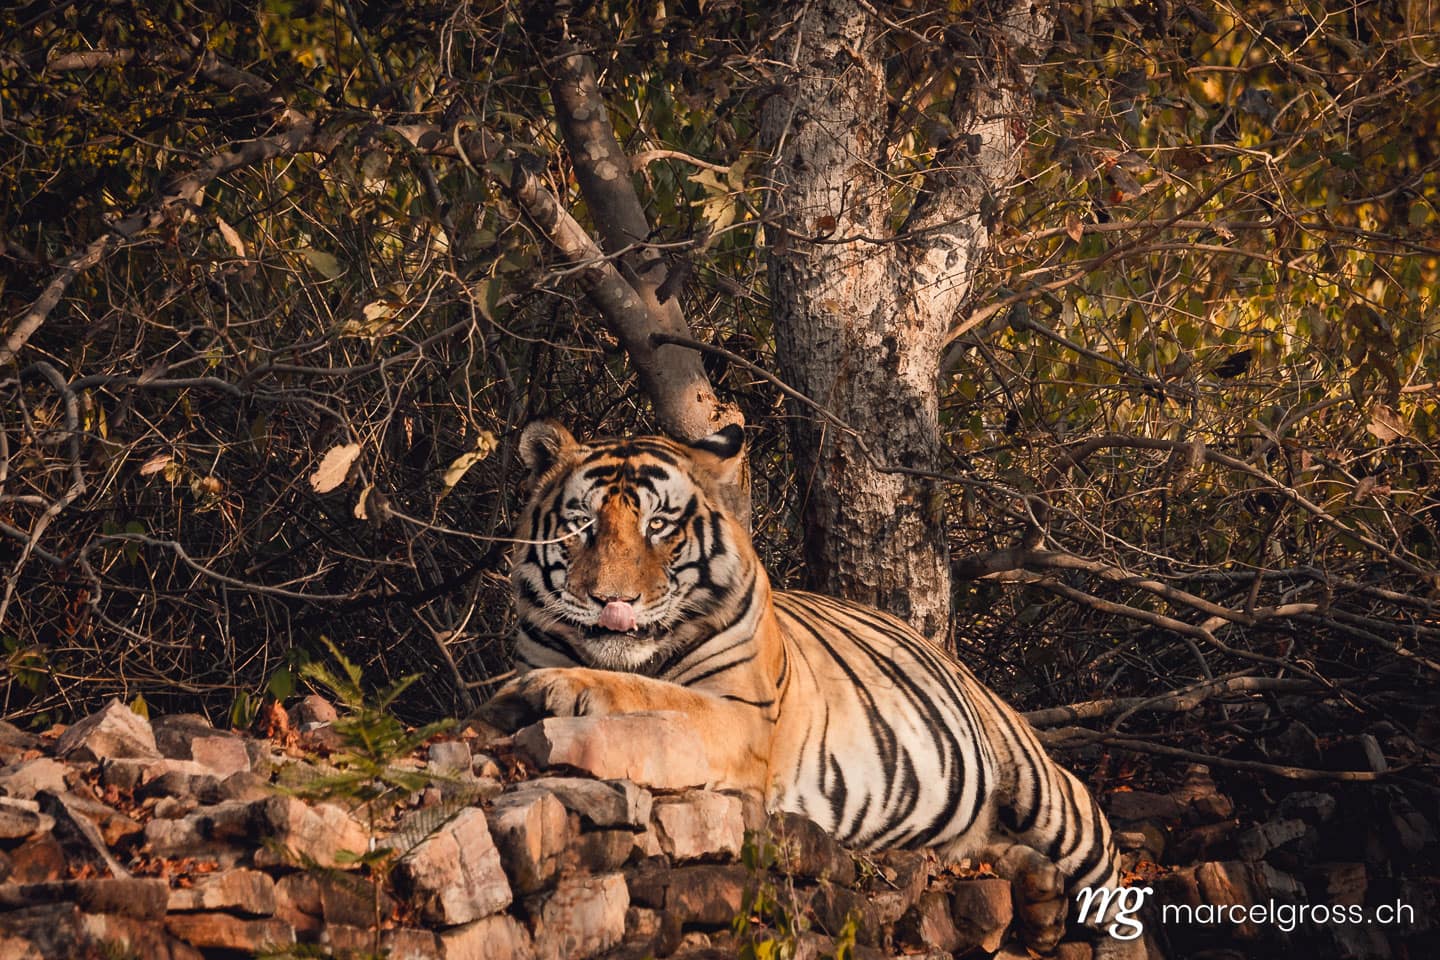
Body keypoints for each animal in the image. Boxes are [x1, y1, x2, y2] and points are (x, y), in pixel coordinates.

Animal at [481, 421, 1142, 956]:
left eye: (659, 526)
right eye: (582, 525)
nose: (611, 600)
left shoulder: (742, 717)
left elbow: (652, 694)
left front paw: (555, 688)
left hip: (1049, 795)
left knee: (1115, 889)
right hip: (969, 829)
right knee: (982, 851)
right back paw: (1042, 901)